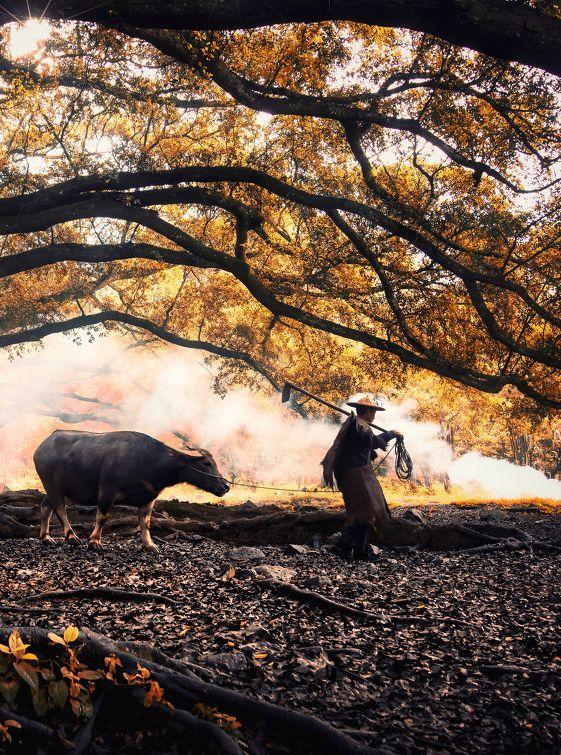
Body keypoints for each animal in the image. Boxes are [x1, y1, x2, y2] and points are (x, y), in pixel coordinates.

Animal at [32, 432, 229, 548]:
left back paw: (46, 537)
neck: (151, 461)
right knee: (60, 509)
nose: (225, 486)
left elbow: (146, 522)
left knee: (45, 507)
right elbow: (102, 517)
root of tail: (41, 447)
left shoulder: (149, 499)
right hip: (53, 487)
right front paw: (94, 541)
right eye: (207, 463)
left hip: (55, 490)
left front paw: (149, 545)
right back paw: (71, 536)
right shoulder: (107, 491)